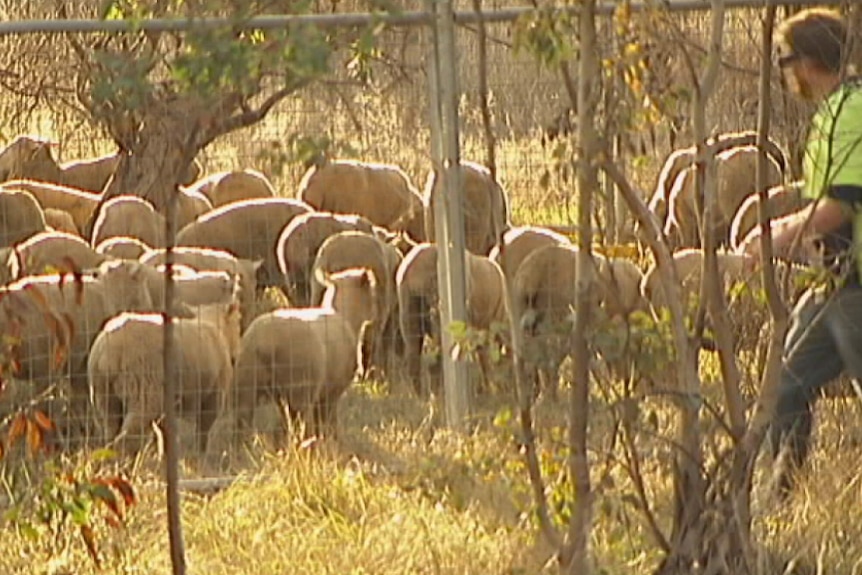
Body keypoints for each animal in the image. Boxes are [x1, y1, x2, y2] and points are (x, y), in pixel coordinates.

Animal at [89, 296, 243, 454]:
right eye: (239, 321)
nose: (236, 355)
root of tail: (108, 349)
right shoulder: (213, 397)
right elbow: (203, 434)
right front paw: (201, 457)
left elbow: (165, 436)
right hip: (144, 392)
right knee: (125, 440)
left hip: (104, 396)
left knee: (110, 436)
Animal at [228, 268, 380, 444]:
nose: (375, 316)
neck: (346, 316)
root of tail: (265, 341)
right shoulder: (331, 393)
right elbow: (328, 423)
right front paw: (332, 441)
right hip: (300, 391)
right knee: (304, 428)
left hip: (245, 387)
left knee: (241, 425)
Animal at [400, 242, 512, 396]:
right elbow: (483, 355)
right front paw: (490, 388)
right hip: (439, 313)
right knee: (436, 360)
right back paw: (440, 393)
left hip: (409, 311)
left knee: (414, 359)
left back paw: (420, 396)